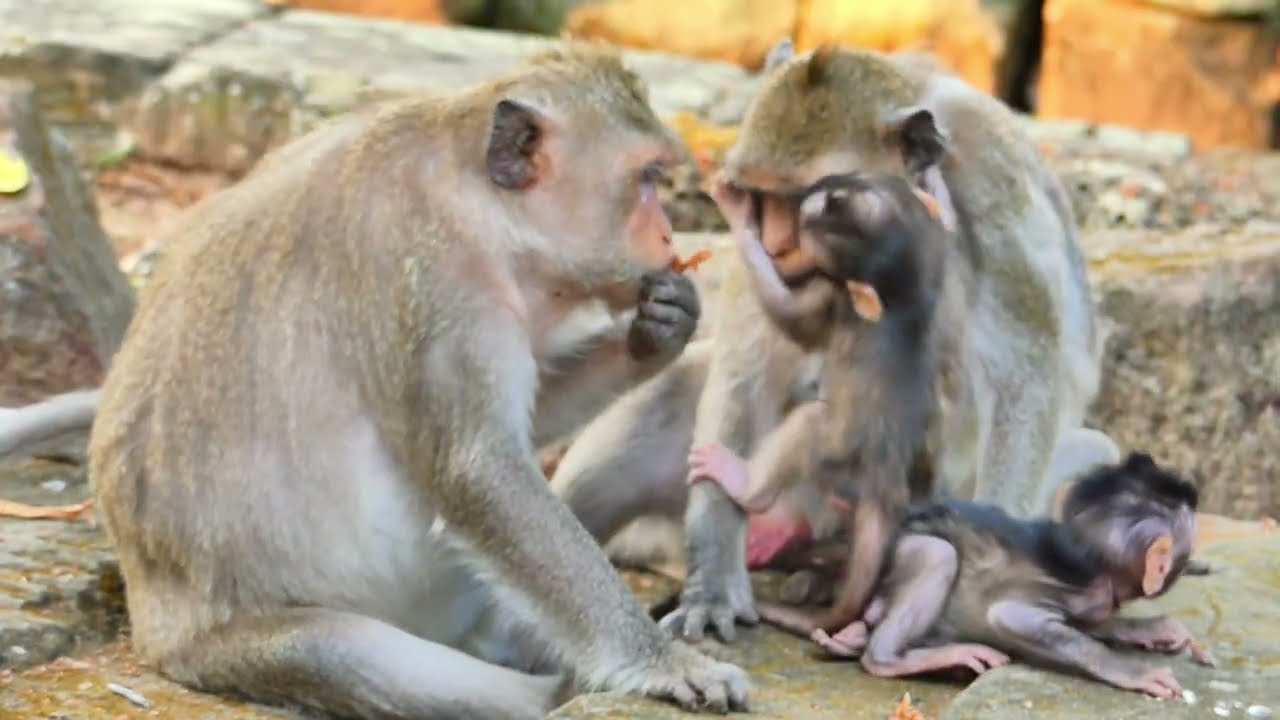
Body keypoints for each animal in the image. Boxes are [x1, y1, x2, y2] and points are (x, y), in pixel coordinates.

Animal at [76, 47, 750, 720]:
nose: (669, 236)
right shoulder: (438, 285)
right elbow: (480, 472)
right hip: (248, 644)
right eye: (646, 179)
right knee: (352, 658)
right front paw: (662, 663)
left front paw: (657, 332)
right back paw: (552, 685)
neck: (476, 202)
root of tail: (153, 621)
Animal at [549, 39, 1103, 645]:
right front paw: (712, 586)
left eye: (810, 202)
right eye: (760, 198)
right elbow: (749, 364)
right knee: (676, 390)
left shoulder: (991, 190)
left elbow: (1024, 380)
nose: (775, 245)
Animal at [758, 451, 1207, 699]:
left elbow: (1096, 624)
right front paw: (1134, 671)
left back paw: (851, 639)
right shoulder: (1085, 592)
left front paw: (1151, 629)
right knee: (938, 555)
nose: (1190, 561)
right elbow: (1015, 618)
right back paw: (893, 657)